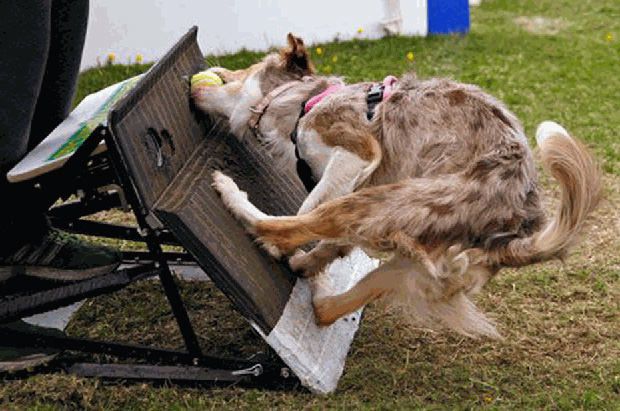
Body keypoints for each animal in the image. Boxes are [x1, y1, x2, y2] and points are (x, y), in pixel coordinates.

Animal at [193, 34, 600, 338]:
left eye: (237, 71)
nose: (201, 75)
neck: (304, 102)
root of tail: (517, 223)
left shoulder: (355, 155)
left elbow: (308, 207)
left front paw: (288, 248)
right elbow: (333, 241)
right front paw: (313, 259)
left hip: (387, 200)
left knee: (287, 224)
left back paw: (234, 196)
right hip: (411, 258)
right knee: (328, 309)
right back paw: (315, 283)